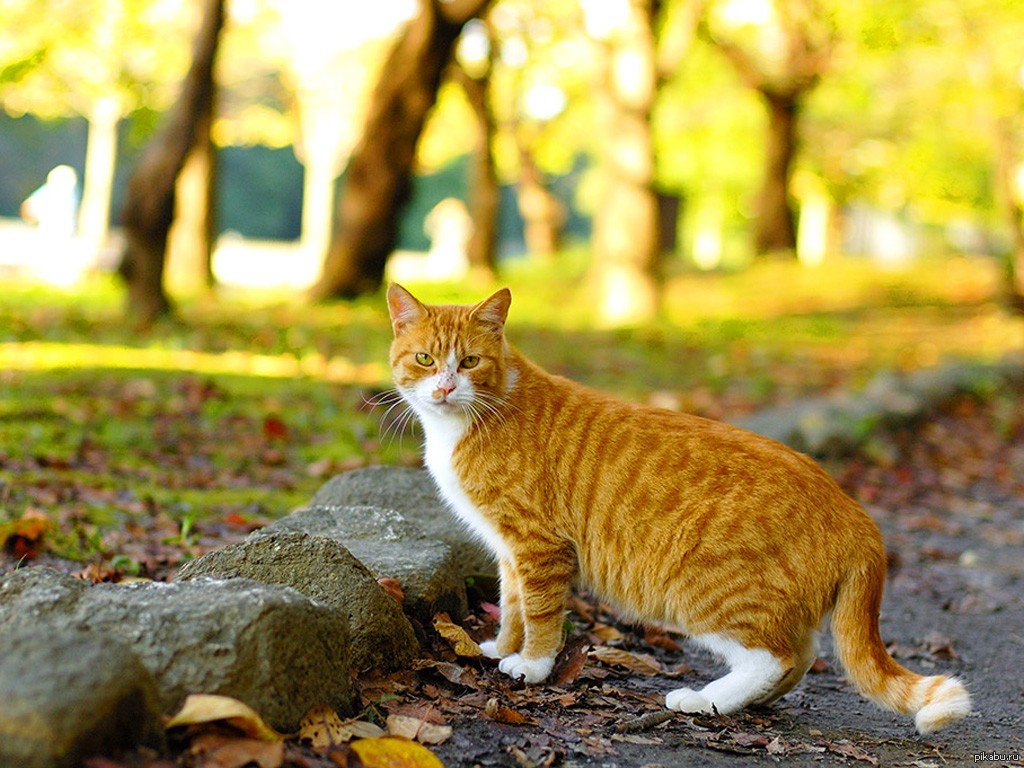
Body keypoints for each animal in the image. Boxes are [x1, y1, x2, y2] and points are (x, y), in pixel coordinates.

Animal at [385, 282, 966, 733]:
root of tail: (853, 510)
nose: (443, 388)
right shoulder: (508, 550)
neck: (473, 417)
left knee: (774, 657)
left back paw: (704, 701)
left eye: (470, 362)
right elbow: (512, 607)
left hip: (703, 592)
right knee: (801, 656)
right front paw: (501, 648)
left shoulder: (537, 545)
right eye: (425, 360)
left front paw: (531, 666)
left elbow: (543, 614)